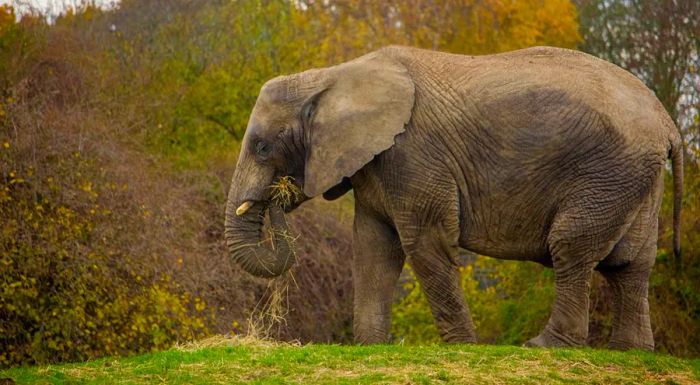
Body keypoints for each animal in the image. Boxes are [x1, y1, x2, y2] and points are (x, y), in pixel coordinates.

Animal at [226, 44, 684, 348]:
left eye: (263, 147)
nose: (279, 197)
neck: (329, 77)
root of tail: (667, 122)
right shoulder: (376, 164)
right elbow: (373, 248)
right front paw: (371, 347)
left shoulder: (412, 154)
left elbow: (424, 243)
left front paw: (463, 346)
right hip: (634, 179)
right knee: (632, 263)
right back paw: (630, 351)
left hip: (607, 174)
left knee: (571, 247)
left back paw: (543, 346)